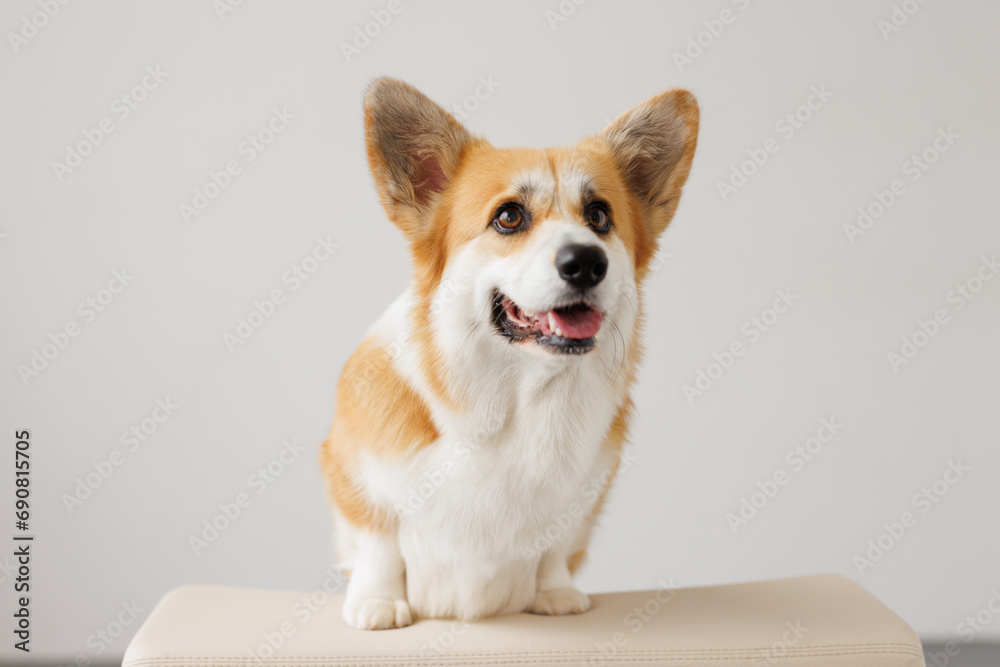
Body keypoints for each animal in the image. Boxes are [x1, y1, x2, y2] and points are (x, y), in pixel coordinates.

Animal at [320, 79, 696, 632]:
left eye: (599, 216)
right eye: (509, 216)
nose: (587, 262)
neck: (519, 394)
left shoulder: (580, 501)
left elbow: (555, 549)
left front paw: (555, 593)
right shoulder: (353, 477)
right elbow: (378, 545)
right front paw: (378, 603)